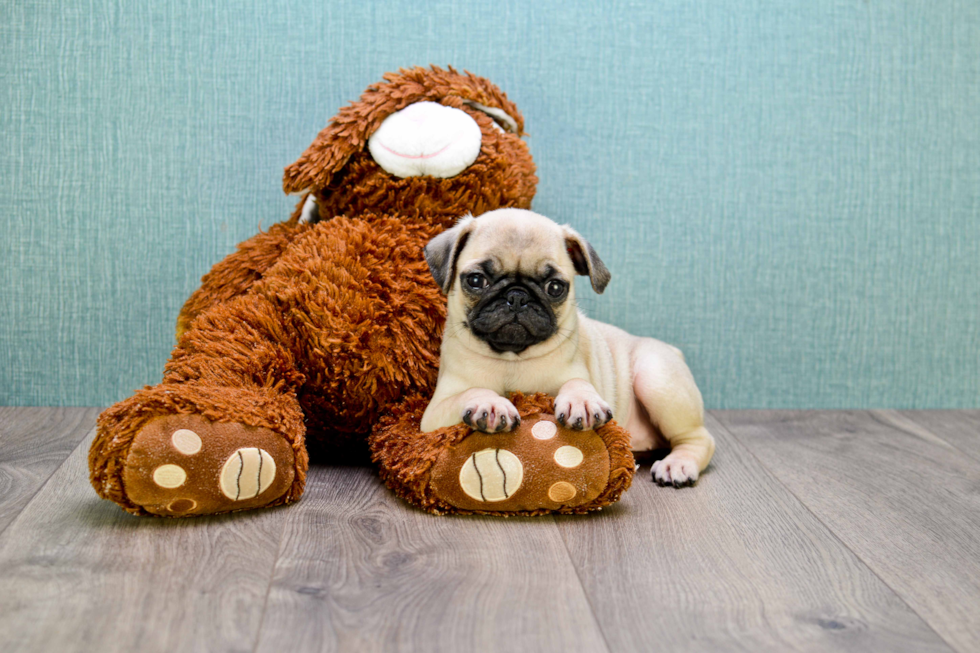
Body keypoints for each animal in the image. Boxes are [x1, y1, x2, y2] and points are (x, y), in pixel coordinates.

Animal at [418, 208, 716, 484]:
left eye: (555, 287)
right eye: (476, 280)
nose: (517, 296)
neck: (513, 358)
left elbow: (577, 383)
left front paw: (580, 401)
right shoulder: (434, 414)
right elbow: (471, 391)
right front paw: (490, 403)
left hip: (654, 377)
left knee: (699, 438)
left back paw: (678, 464)